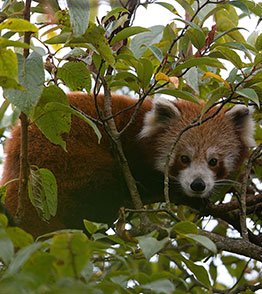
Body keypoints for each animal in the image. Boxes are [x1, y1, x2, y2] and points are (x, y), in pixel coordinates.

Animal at [0, 94, 256, 237]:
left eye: (213, 161)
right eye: (184, 158)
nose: (198, 185)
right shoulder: (128, 151)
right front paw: (187, 197)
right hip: (65, 162)